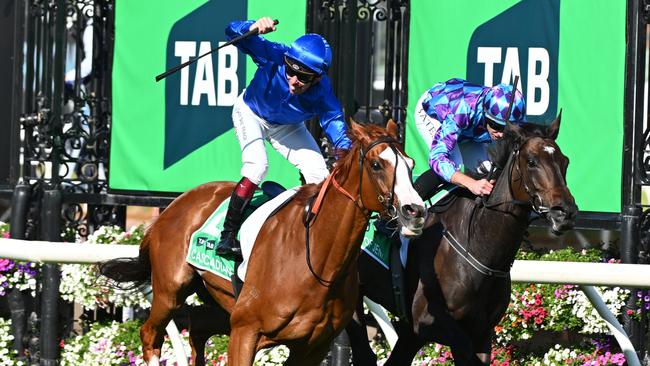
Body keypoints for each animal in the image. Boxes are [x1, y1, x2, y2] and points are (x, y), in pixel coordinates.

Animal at [100, 121, 426, 366]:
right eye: (376, 164)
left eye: (410, 164)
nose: (415, 211)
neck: (317, 263)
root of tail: (177, 203)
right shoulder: (246, 331)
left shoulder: (312, 347)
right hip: (171, 289)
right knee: (150, 335)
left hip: (219, 304)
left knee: (198, 325)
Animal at [344, 113, 576, 364]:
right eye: (532, 161)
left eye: (565, 161)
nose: (565, 212)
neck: (478, 246)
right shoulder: (429, 321)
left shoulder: (481, 331)